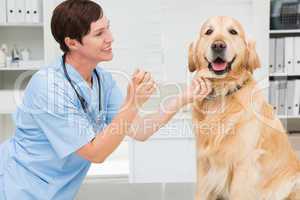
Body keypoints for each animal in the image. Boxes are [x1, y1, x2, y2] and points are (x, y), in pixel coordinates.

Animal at [189, 16, 300, 200]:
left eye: (233, 32)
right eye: (209, 31)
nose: (218, 45)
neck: (223, 92)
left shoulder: (244, 164)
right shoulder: (204, 163)